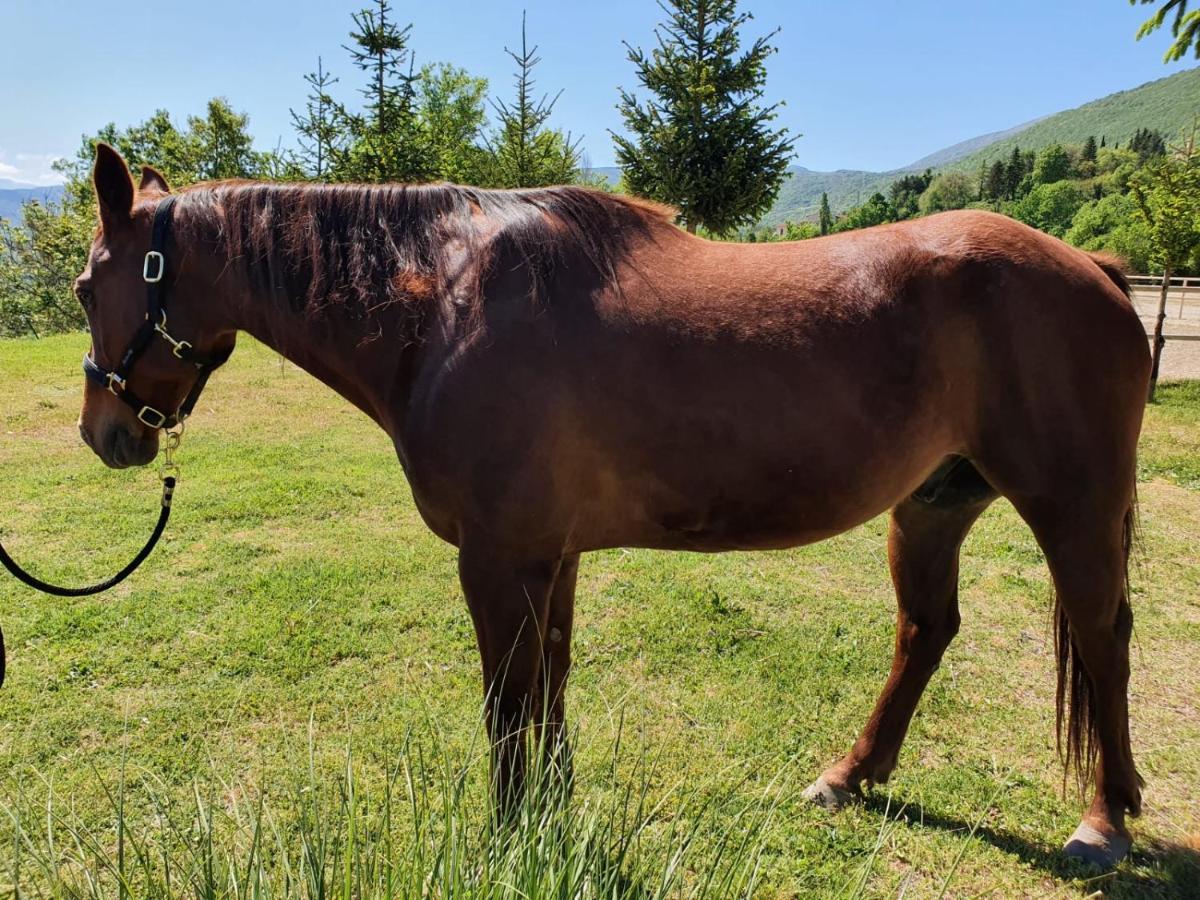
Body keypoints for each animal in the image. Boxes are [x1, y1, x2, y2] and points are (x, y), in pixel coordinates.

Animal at [77, 144, 1152, 868]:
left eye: (90, 283)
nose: (104, 433)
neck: (446, 309)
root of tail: (1096, 270)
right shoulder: (548, 556)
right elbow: (547, 692)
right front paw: (550, 818)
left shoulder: (498, 560)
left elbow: (508, 704)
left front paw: (512, 834)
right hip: (932, 505)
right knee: (927, 630)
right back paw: (852, 777)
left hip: (1072, 507)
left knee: (1103, 639)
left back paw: (1104, 819)